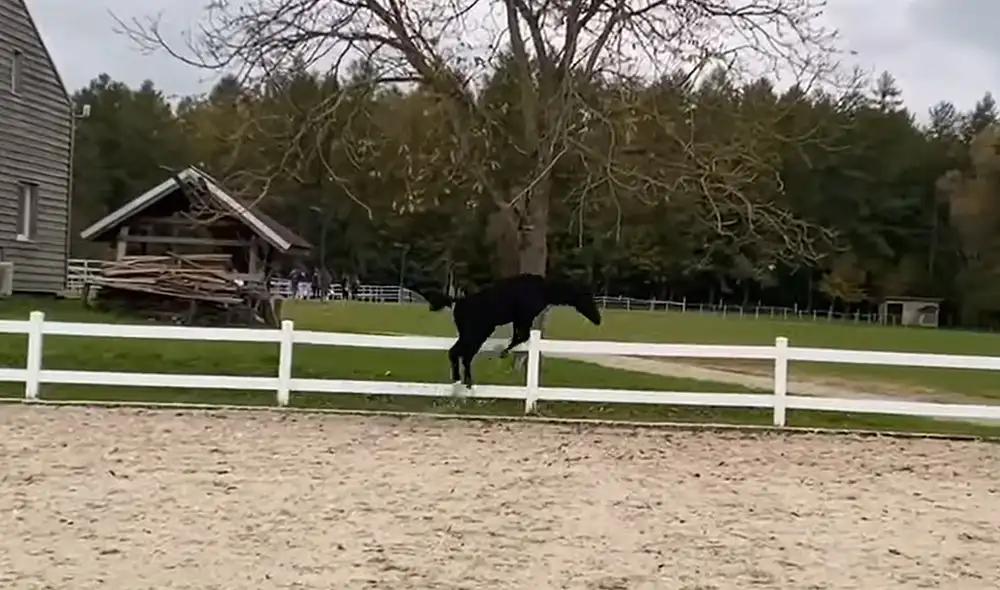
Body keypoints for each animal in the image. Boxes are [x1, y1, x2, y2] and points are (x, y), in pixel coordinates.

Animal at [421, 273, 602, 392]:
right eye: (586, 296)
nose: (598, 319)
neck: (543, 290)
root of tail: (457, 304)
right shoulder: (525, 316)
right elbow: (522, 336)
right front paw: (503, 352)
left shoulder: (519, 319)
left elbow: (518, 336)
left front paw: (504, 352)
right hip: (475, 334)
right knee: (458, 353)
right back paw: (461, 381)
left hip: (475, 334)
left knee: (462, 355)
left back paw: (464, 382)